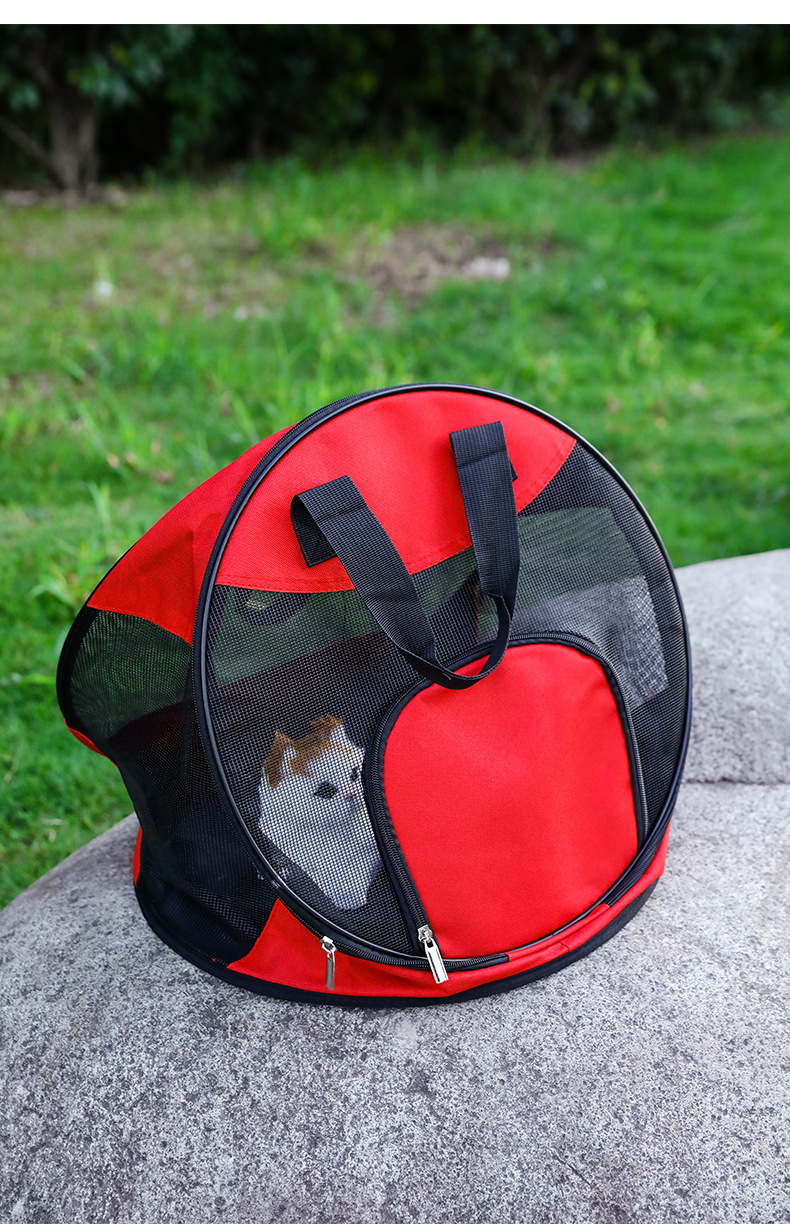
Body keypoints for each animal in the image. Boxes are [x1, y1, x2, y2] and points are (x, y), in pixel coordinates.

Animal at [257, 716, 382, 911]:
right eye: (325, 791)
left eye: (354, 774)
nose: (351, 794)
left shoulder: (370, 855)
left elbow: (359, 868)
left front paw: (349, 895)